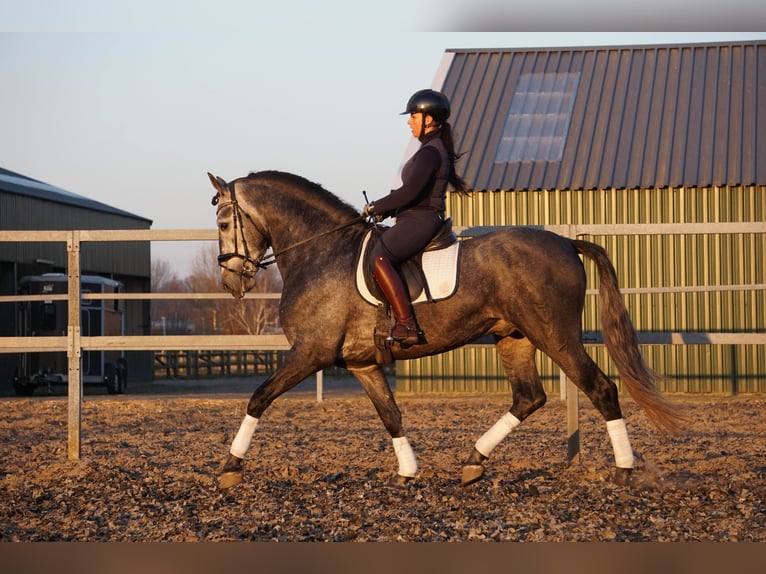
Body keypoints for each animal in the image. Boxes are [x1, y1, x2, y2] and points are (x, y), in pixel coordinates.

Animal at [207, 170, 688, 490]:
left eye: (224, 223)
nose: (231, 282)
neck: (322, 253)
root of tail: (566, 242)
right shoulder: (362, 363)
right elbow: (390, 415)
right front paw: (408, 471)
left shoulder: (310, 353)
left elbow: (260, 397)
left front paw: (230, 466)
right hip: (514, 338)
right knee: (529, 397)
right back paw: (474, 461)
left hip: (556, 336)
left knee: (600, 388)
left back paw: (624, 468)